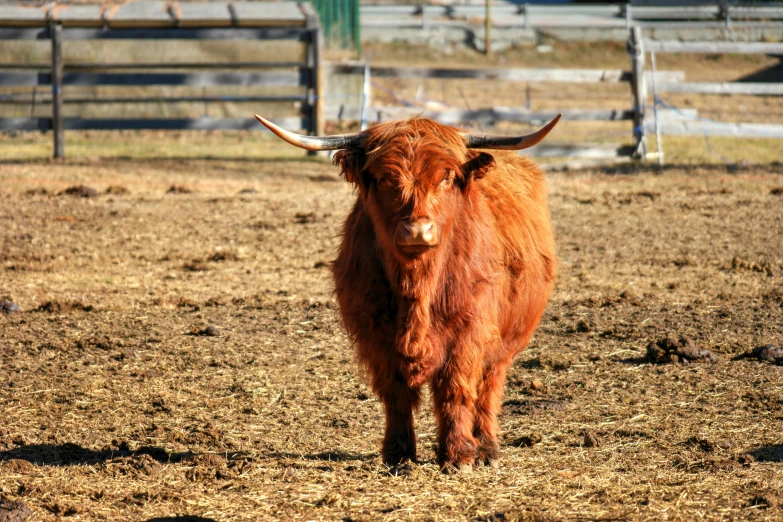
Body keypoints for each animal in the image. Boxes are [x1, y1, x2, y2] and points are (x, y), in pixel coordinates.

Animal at [254, 115, 560, 472]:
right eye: (384, 178)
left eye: (446, 177)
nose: (418, 230)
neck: (418, 287)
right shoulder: (376, 334)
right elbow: (396, 393)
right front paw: (398, 455)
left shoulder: (469, 331)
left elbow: (455, 389)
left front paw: (458, 455)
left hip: (505, 343)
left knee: (487, 389)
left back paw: (486, 448)